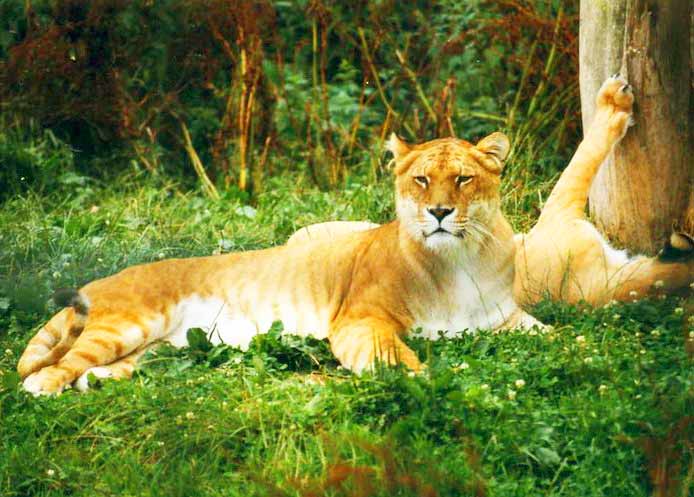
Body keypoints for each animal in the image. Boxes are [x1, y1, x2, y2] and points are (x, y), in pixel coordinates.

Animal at [14, 129, 540, 396]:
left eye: (464, 179)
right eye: (422, 180)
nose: (440, 212)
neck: (459, 261)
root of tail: (103, 280)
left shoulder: (506, 318)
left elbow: (553, 333)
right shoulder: (360, 319)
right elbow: (395, 357)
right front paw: (429, 382)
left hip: (158, 349)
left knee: (102, 367)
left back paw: (91, 383)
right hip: (125, 323)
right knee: (51, 365)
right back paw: (44, 387)